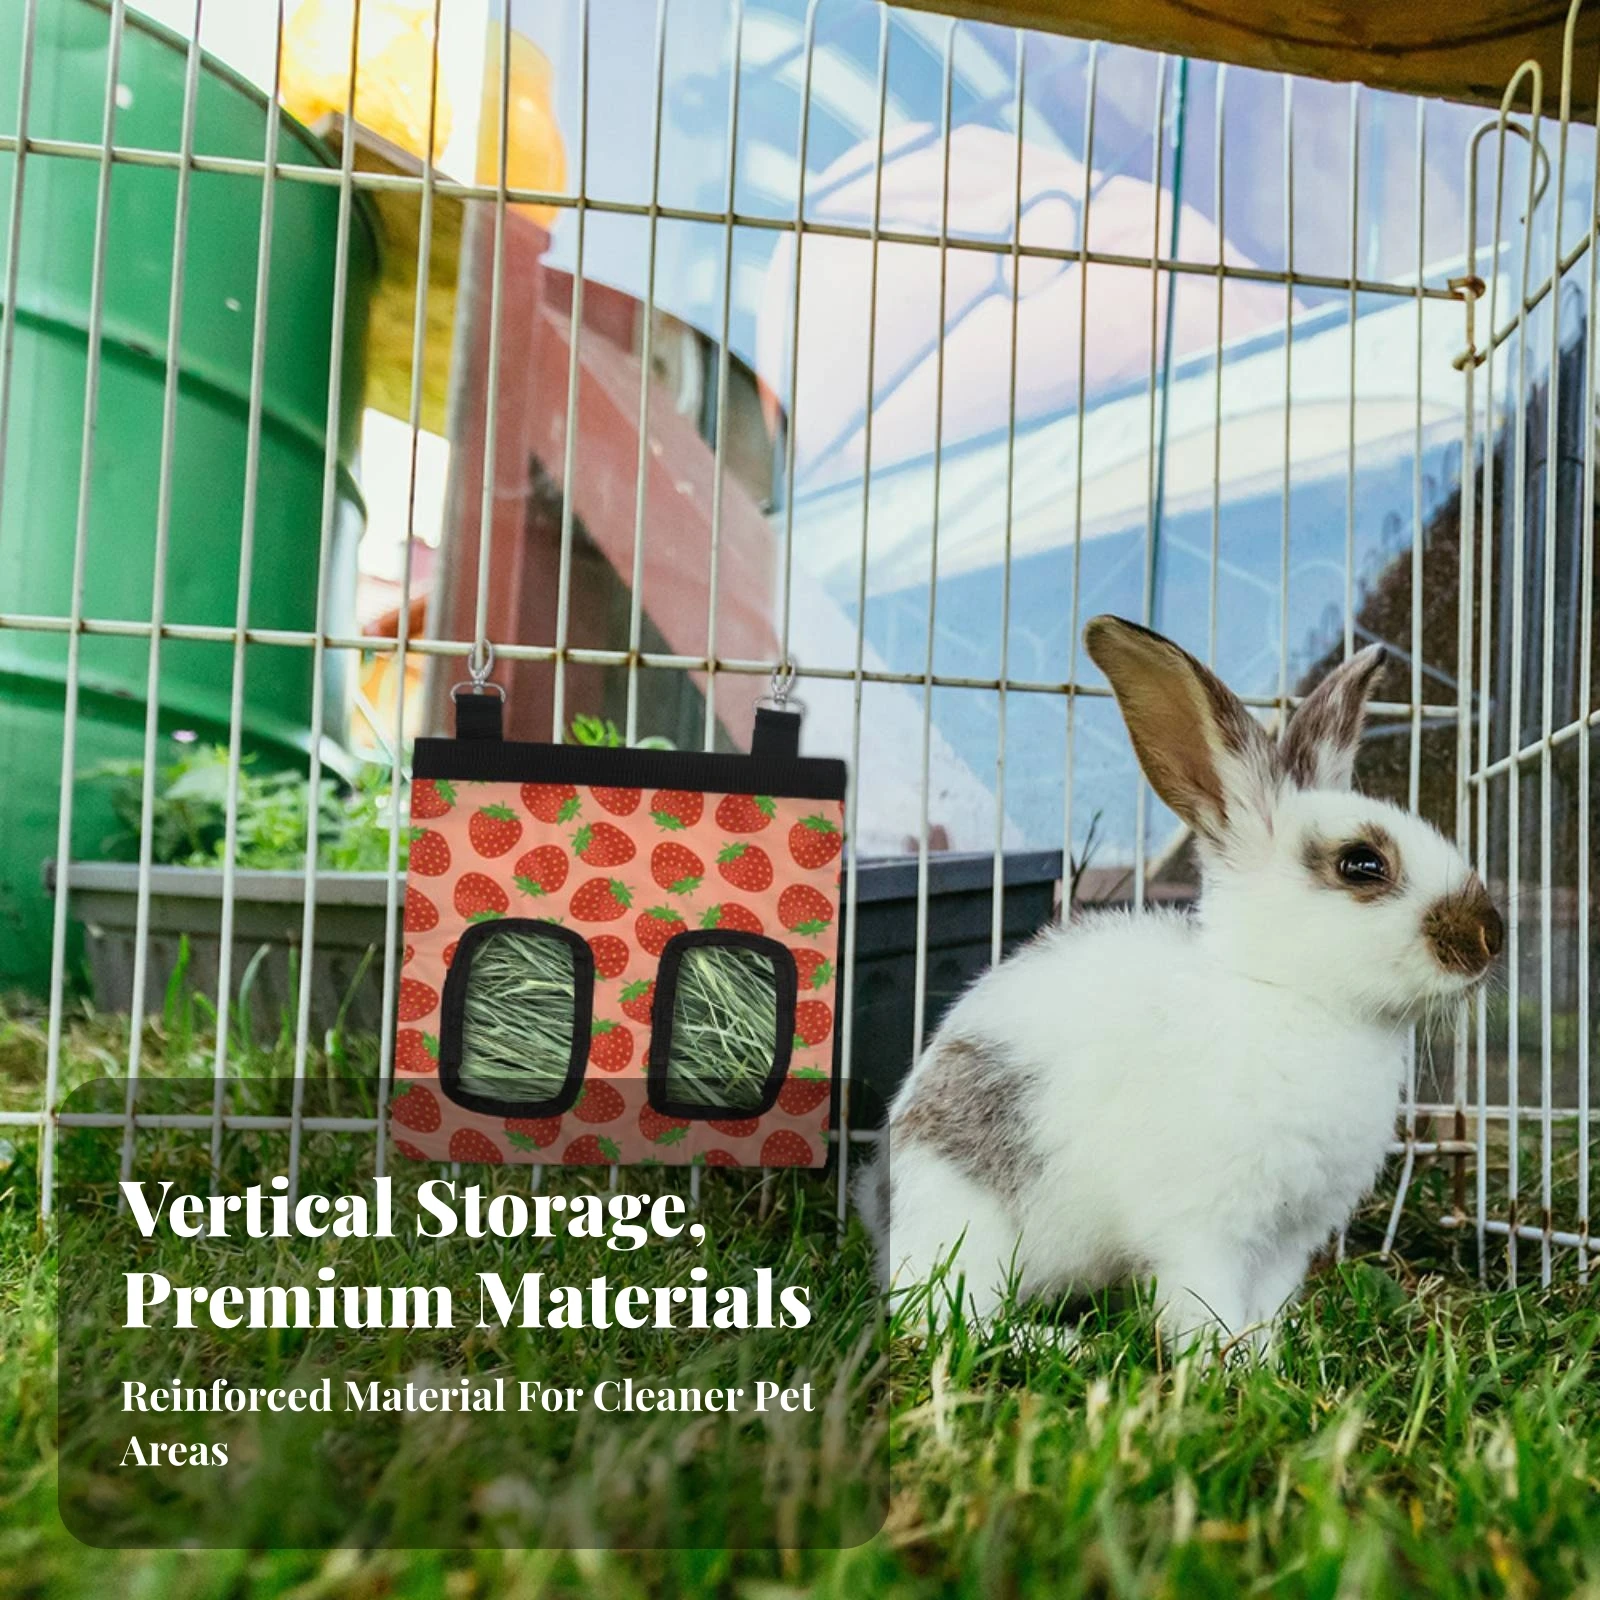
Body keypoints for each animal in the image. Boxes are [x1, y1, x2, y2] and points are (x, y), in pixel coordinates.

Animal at [858, 615, 1503, 1355]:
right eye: (1361, 864)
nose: (1491, 936)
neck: (1287, 993)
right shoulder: (1205, 1229)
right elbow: (1204, 1301)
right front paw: (1227, 1361)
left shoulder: (1289, 1238)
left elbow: (1267, 1303)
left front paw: (1270, 1354)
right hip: (966, 1225)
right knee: (947, 1319)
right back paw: (1064, 1345)